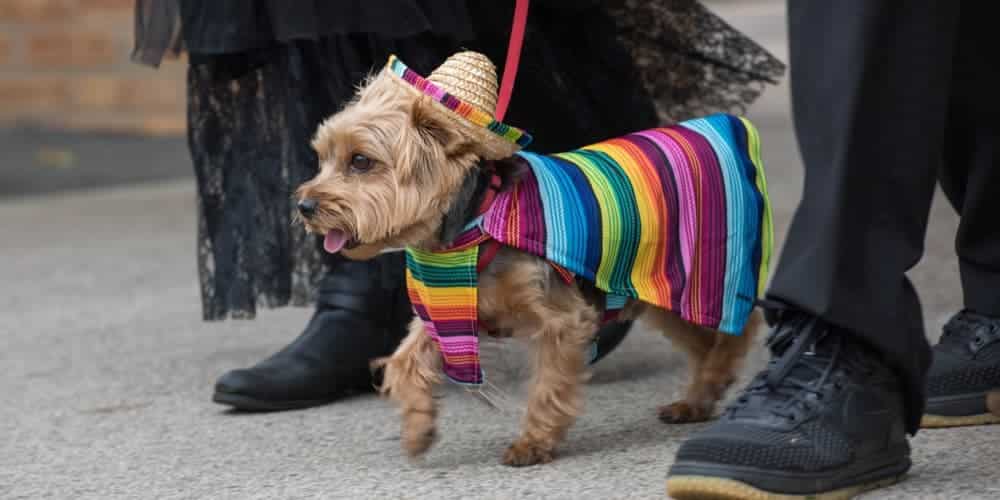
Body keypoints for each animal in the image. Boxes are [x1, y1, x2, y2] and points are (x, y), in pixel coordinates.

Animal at [294, 52, 764, 466]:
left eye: (360, 161)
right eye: (323, 158)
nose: (304, 206)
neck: (470, 227)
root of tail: (724, 125)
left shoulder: (562, 319)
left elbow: (549, 385)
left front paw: (533, 443)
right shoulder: (449, 309)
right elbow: (405, 362)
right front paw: (418, 428)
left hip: (702, 273)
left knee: (739, 327)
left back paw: (714, 379)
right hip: (653, 289)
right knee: (704, 341)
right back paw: (698, 398)